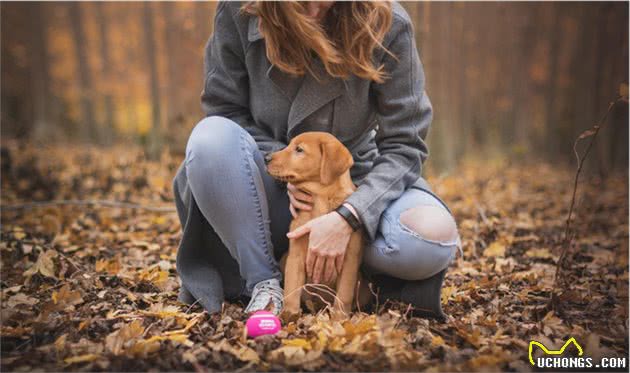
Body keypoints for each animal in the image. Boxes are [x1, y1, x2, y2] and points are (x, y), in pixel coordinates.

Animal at [266, 132, 370, 318]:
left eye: (299, 149)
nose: (266, 158)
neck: (321, 198)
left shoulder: (349, 259)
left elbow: (343, 296)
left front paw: (339, 320)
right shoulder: (296, 254)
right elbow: (291, 289)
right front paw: (288, 317)